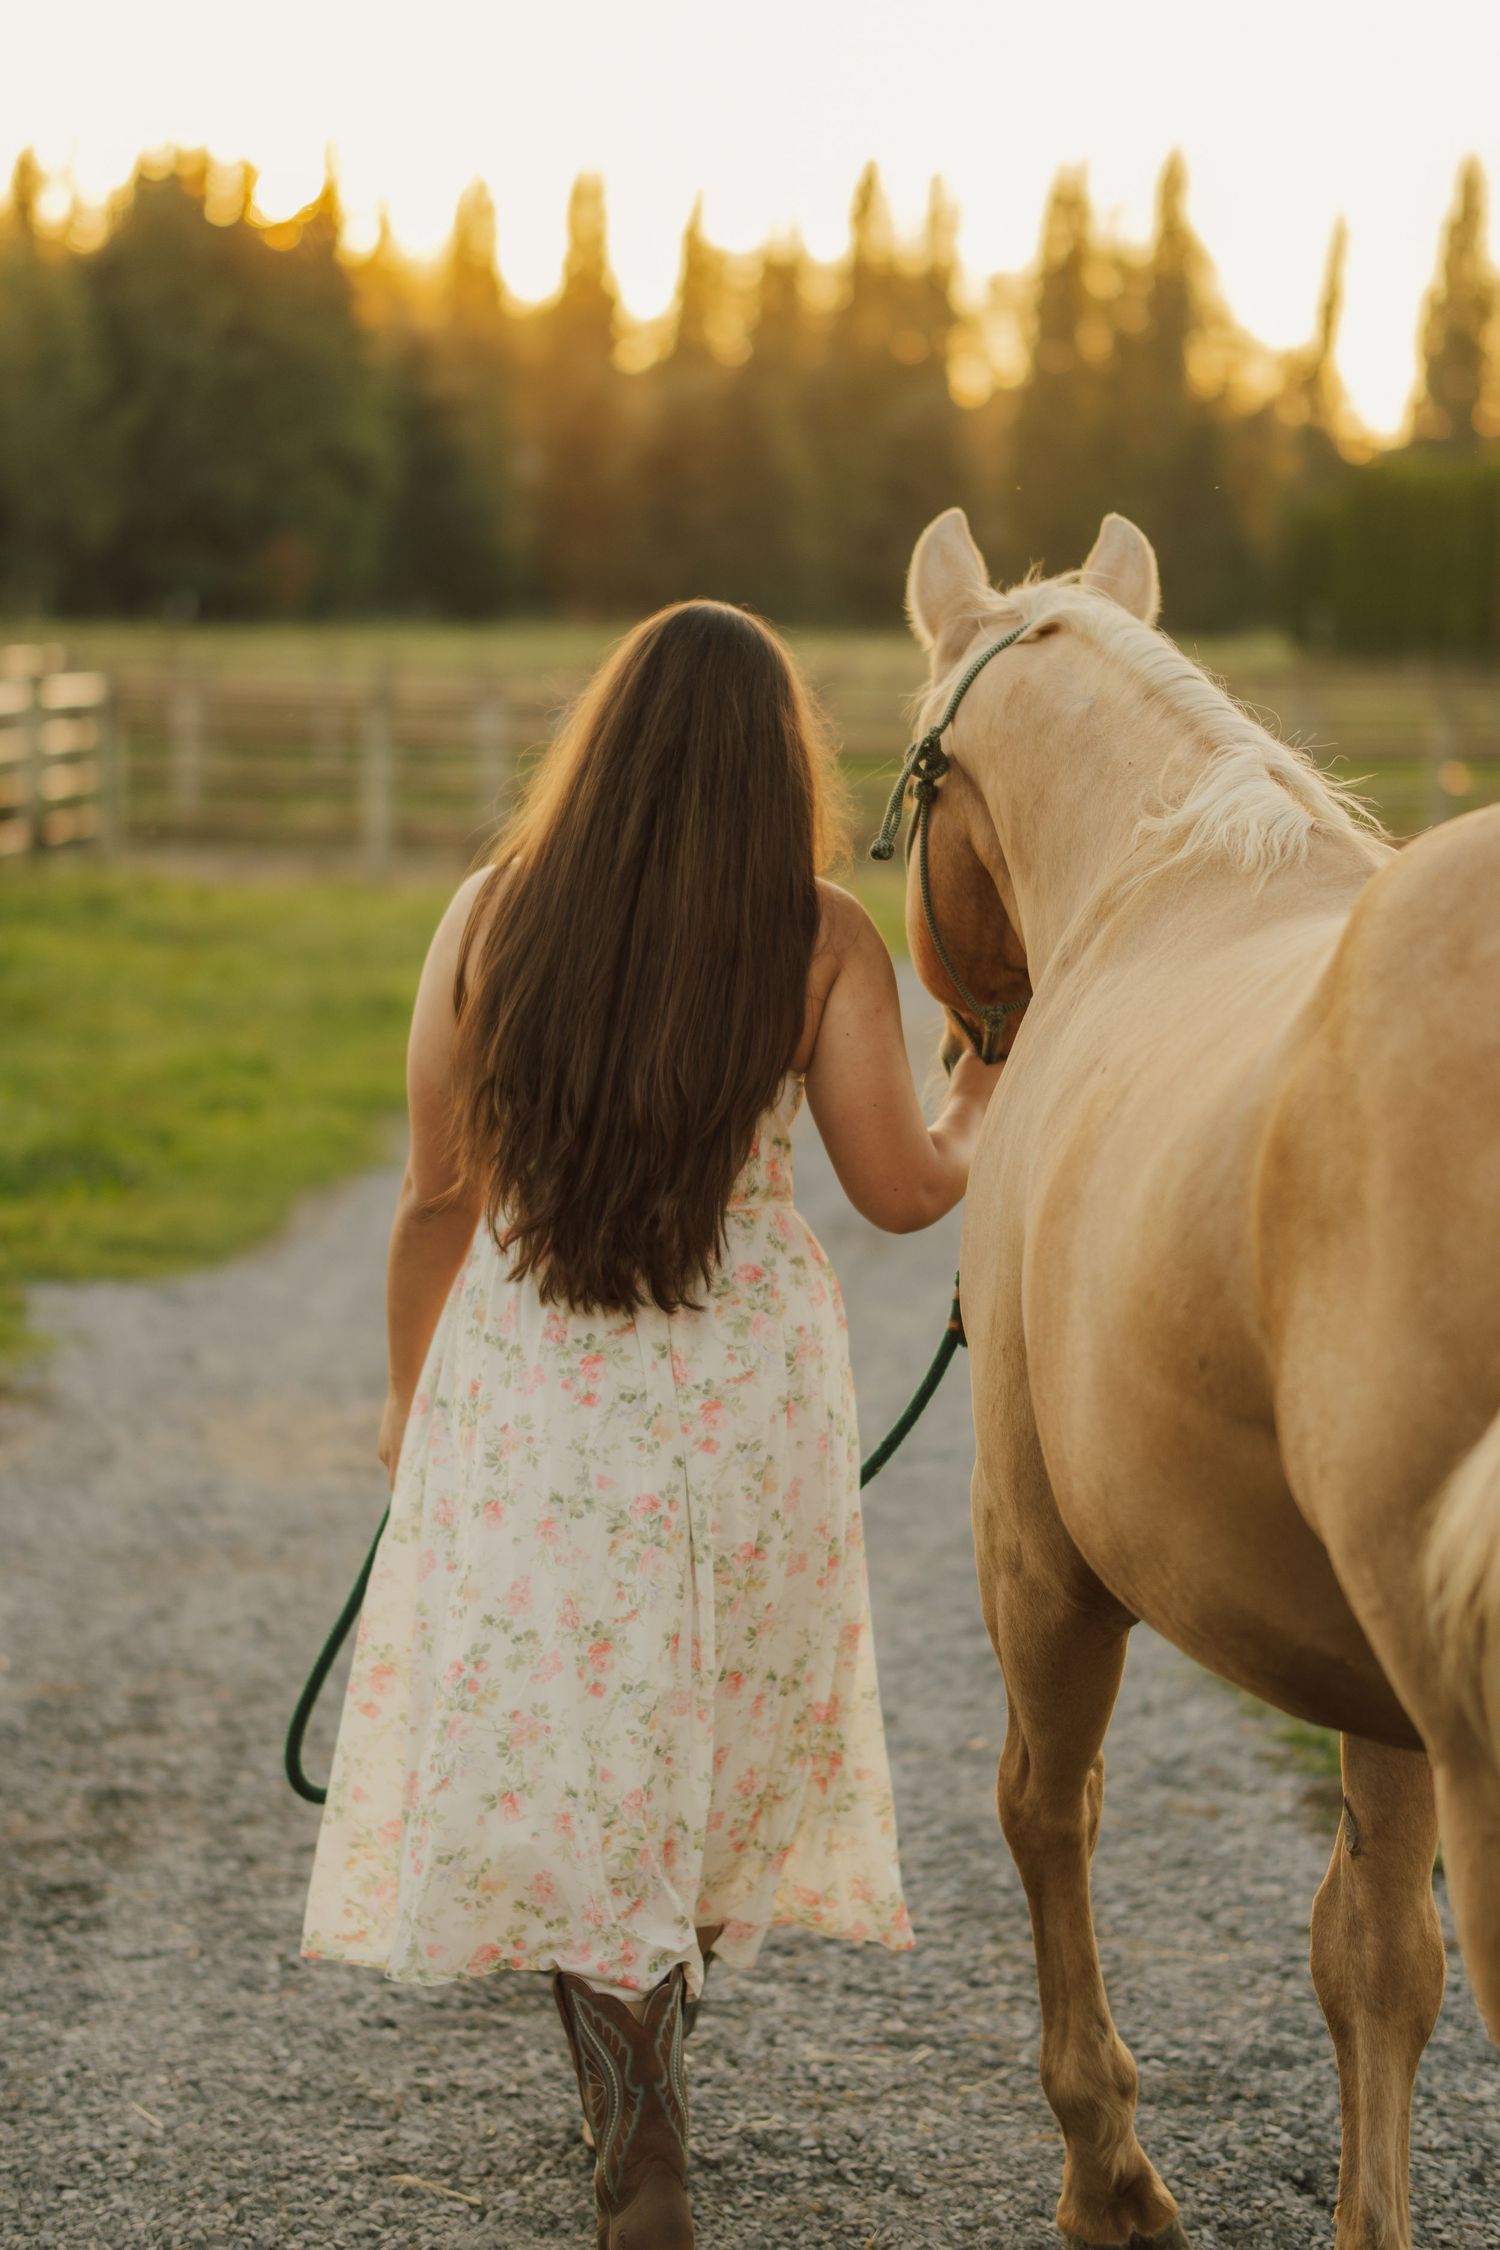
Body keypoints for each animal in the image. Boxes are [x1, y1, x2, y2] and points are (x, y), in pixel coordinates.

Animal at [900, 505, 1500, 2250]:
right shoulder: (1385, 1680)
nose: (962, 1051)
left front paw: (1107, 2172)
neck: (1167, 885)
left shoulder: (1034, 1544)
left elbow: (1050, 1806)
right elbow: (1377, 1958)